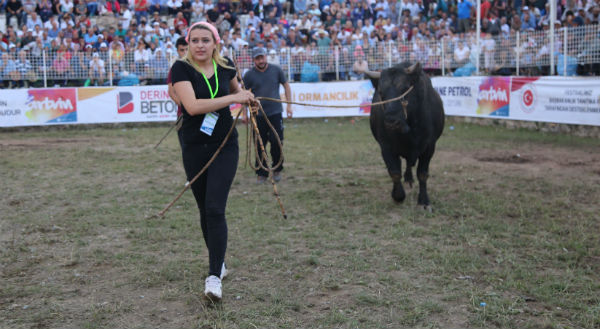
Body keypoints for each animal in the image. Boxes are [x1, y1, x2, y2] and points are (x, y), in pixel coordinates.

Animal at [366, 62, 446, 206]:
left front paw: (424, 200)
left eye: (405, 88)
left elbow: (422, 174)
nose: (392, 121)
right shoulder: (385, 147)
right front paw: (398, 196)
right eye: (380, 92)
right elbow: (395, 172)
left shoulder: (429, 147)